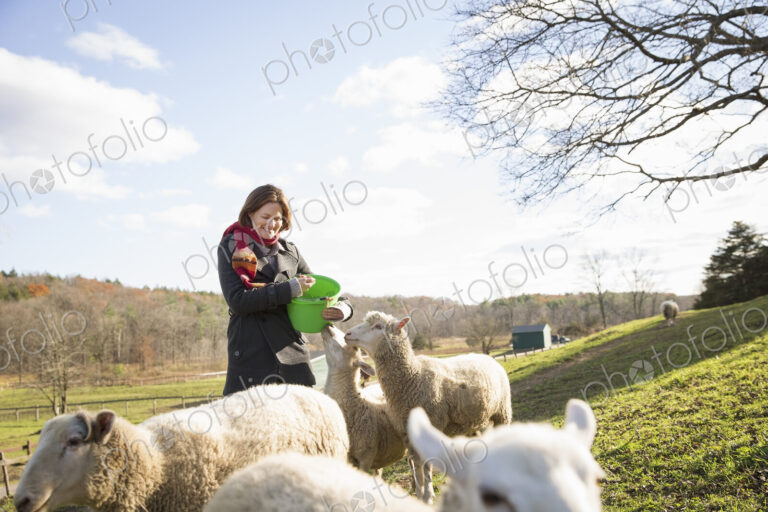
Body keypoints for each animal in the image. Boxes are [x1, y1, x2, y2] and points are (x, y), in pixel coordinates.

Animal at [344, 311, 512, 503]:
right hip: (470, 421)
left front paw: (429, 496)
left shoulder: (431, 422)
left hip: (502, 412)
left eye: (378, 326)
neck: (412, 377)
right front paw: (419, 494)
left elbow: (427, 464)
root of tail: (487, 357)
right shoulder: (406, 431)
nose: (347, 334)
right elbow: (416, 465)